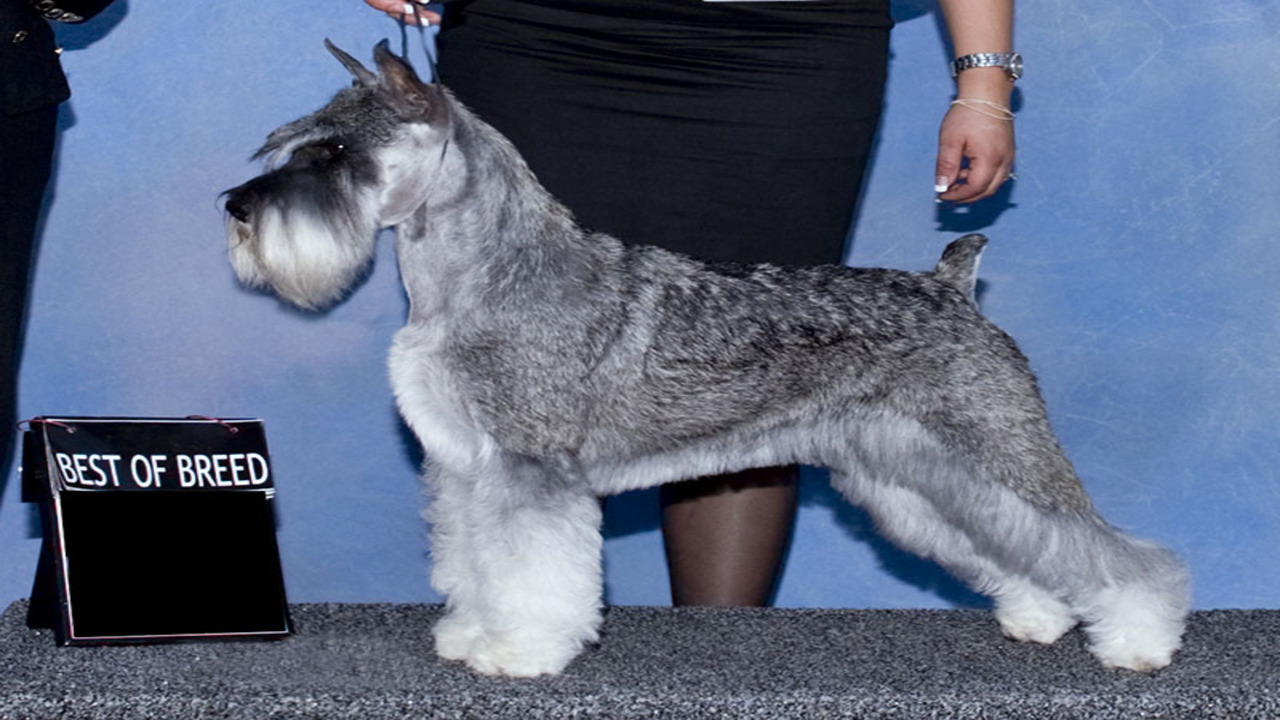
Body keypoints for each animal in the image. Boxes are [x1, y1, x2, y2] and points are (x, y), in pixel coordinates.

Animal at [222, 41, 1187, 676]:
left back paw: (1139, 638)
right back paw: (1041, 617)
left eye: (336, 151)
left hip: (995, 449)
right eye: (303, 141)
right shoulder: (466, 469)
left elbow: (532, 572)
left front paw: (519, 650)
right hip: (915, 478)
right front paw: (470, 633)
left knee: (1105, 548)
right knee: (1018, 546)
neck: (477, 275)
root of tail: (953, 284)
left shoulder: (532, 473)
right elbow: (472, 561)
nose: (237, 206)